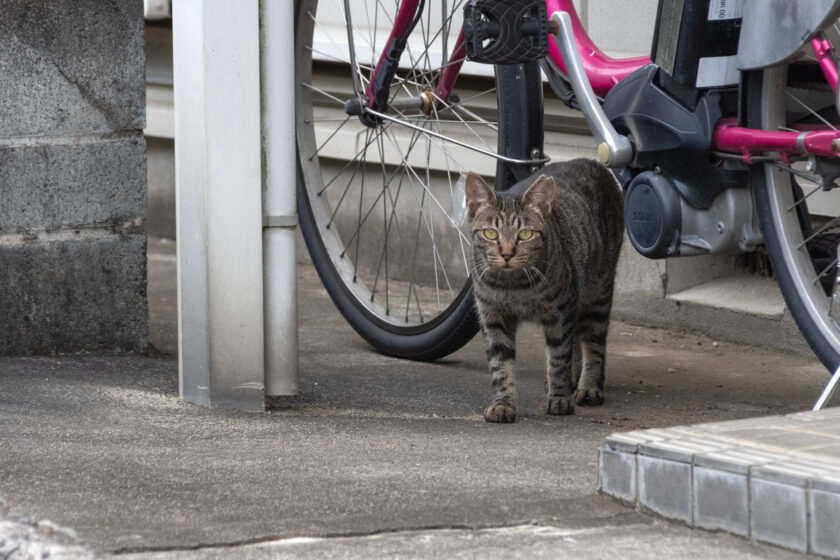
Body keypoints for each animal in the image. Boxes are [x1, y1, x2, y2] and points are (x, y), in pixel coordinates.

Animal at [466, 160, 624, 422]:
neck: (513, 286)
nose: (506, 253)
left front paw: (559, 398)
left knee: (593, 344)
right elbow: (501, 366)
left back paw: (589, 387)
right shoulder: (493, 318)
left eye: (525, 234)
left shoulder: (560, 313)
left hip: (597, 294)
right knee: (577, 339)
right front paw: (503, 403)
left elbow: (559, 357)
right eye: (490, 233)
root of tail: (592, 161)